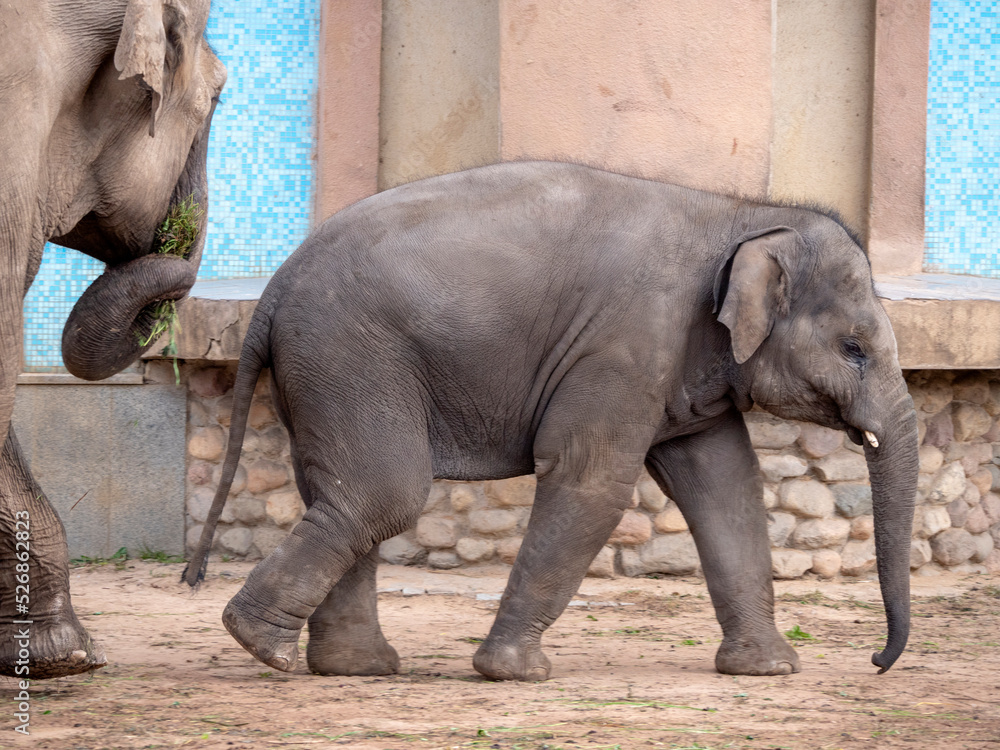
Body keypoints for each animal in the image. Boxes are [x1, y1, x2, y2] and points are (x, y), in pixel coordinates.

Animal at [186, 160, 918, 680]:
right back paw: (262, 646)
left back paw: (350, 668)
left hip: (324, 370)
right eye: (854, 348)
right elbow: (590, 481)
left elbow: (726, 486)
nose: (877, 662)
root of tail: (273, 289)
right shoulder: (624, 349)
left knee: (340, 490)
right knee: (383, 493)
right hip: (351, 355)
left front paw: (769, 670)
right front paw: (513, 674)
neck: (743, 215)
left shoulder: (682, 365)